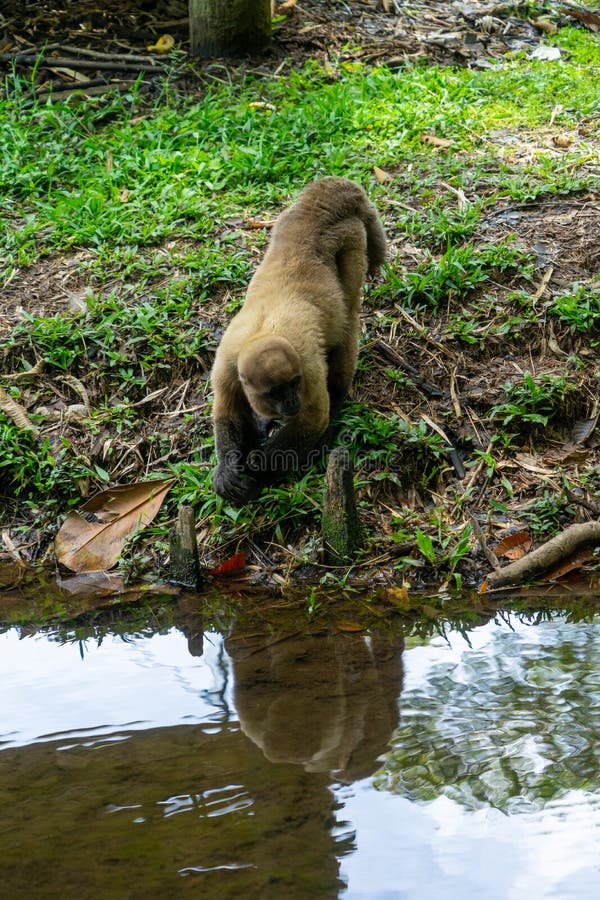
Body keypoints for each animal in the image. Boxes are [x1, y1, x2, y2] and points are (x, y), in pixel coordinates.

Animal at [210, 176, 387, 504]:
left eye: (293, 385)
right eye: (275, 393)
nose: (291, 401)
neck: (263, 333)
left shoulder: (306, 363)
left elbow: (313, 416)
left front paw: (259, 468)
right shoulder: (226, 365)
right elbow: (228, 412)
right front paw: (226, 471)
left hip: (350, 237)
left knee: (347, 322)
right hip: (287, 221)